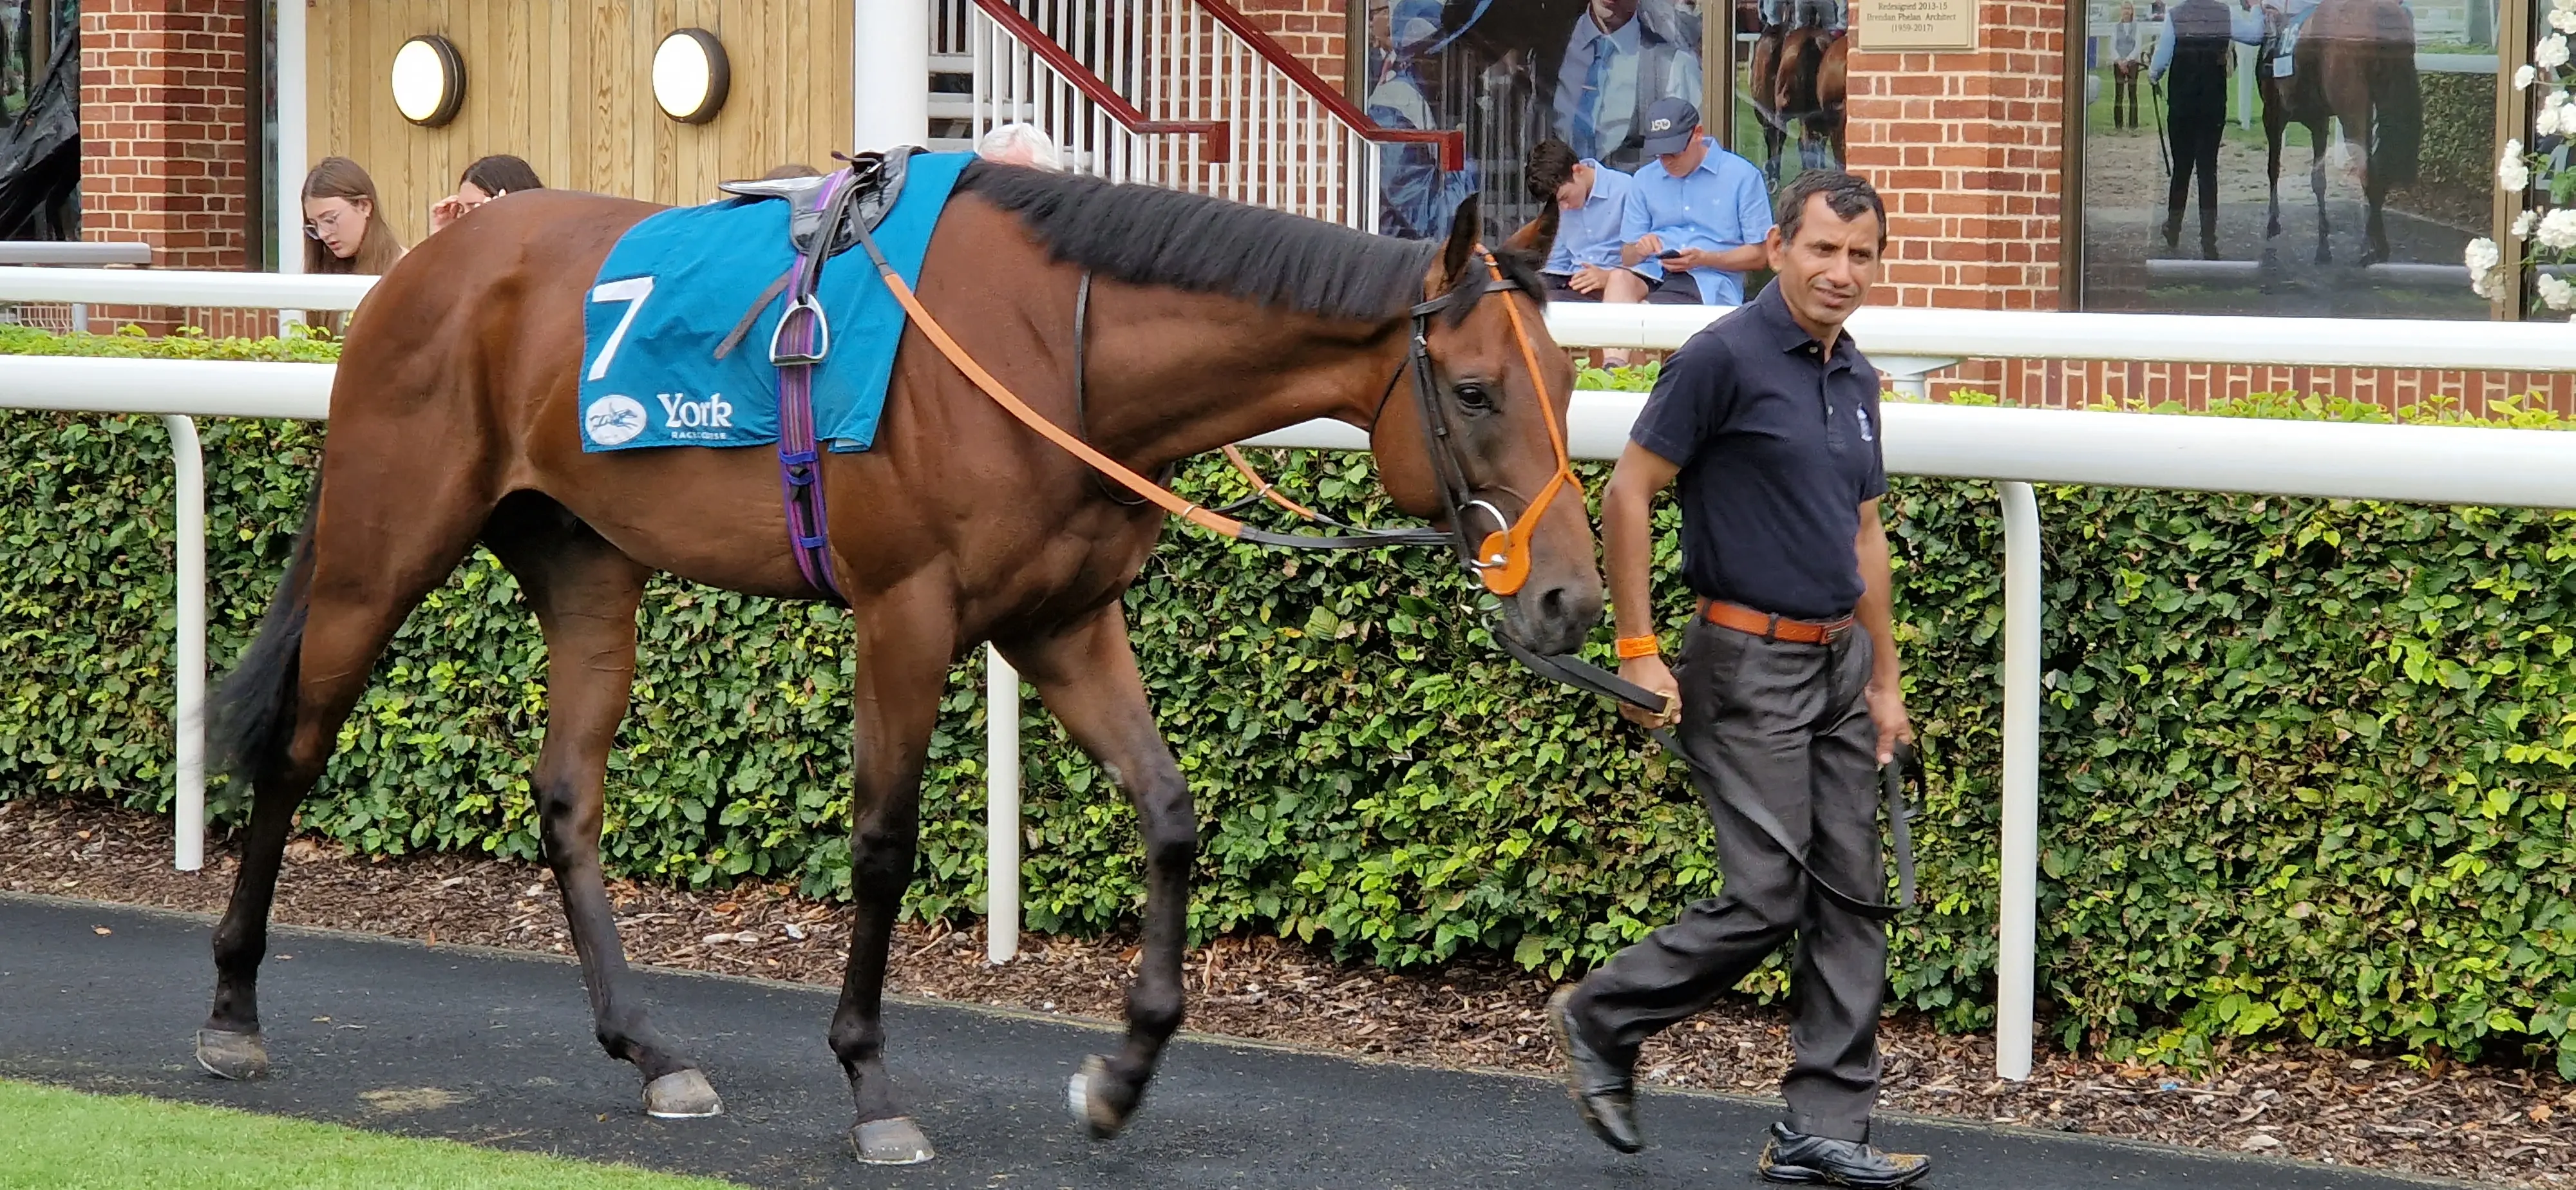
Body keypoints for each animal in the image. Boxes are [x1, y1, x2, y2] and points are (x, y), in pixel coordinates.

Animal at [201, 167, 1597, 1164]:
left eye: (1567, 374)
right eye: (1476, 391)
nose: (1572, 597)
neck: (1053, 345)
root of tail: (422, 267)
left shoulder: (1064, 621)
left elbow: (1168, 813)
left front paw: (1120, 1074)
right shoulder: (906, 612)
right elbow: (882, 843)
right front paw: (872, 1085)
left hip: (589, 567)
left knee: (566, 797)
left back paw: (652, 1051)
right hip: (382, 550)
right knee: (294, 754)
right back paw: (232, 1017)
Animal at [2267, 0, 2421, 261]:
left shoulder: (2274, 115)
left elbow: (2274, 169)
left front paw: (2273, 223)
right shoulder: (2318, 121)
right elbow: (2318, 178)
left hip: (2352, 106)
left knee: (2367, 170)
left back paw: (2373, 245)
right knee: (2380, 167)